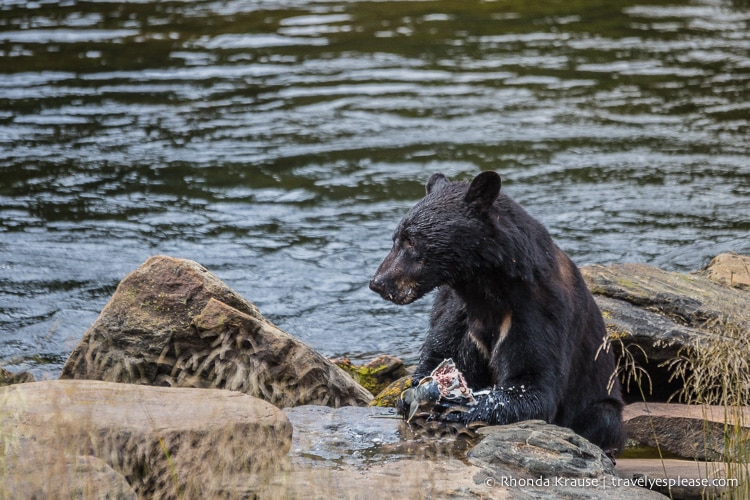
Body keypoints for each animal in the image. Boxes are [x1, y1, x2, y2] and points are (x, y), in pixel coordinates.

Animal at [372, 170, 628, 458]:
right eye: (396, 238)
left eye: (412, 241)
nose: (378, 282)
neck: (485, 289)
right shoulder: (456, 308)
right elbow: (440, 349)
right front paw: (412, 394)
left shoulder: (539, 309)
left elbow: (533, 381)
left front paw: (459, 407)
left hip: (601, 405)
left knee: (602, 419)